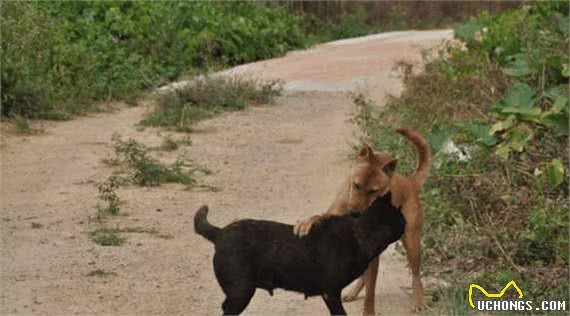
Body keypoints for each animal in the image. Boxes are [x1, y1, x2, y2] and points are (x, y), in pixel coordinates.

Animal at [195, 191, 404, 314]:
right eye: (399, 218)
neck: (357, 233)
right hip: (241, 292)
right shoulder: (330, 293)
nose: (406, 221)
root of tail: (219, 233)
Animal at [296, 128, 428, 314]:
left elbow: (370, 295)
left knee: (416, 275)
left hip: (412, 243)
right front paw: (307, 222)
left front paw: (368, 311)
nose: (354, 213)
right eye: (356, 185)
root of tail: (409, 182)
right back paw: (353, 292)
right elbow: (320, 216)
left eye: (373, 191)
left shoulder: (372, 258)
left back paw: (418, 300)